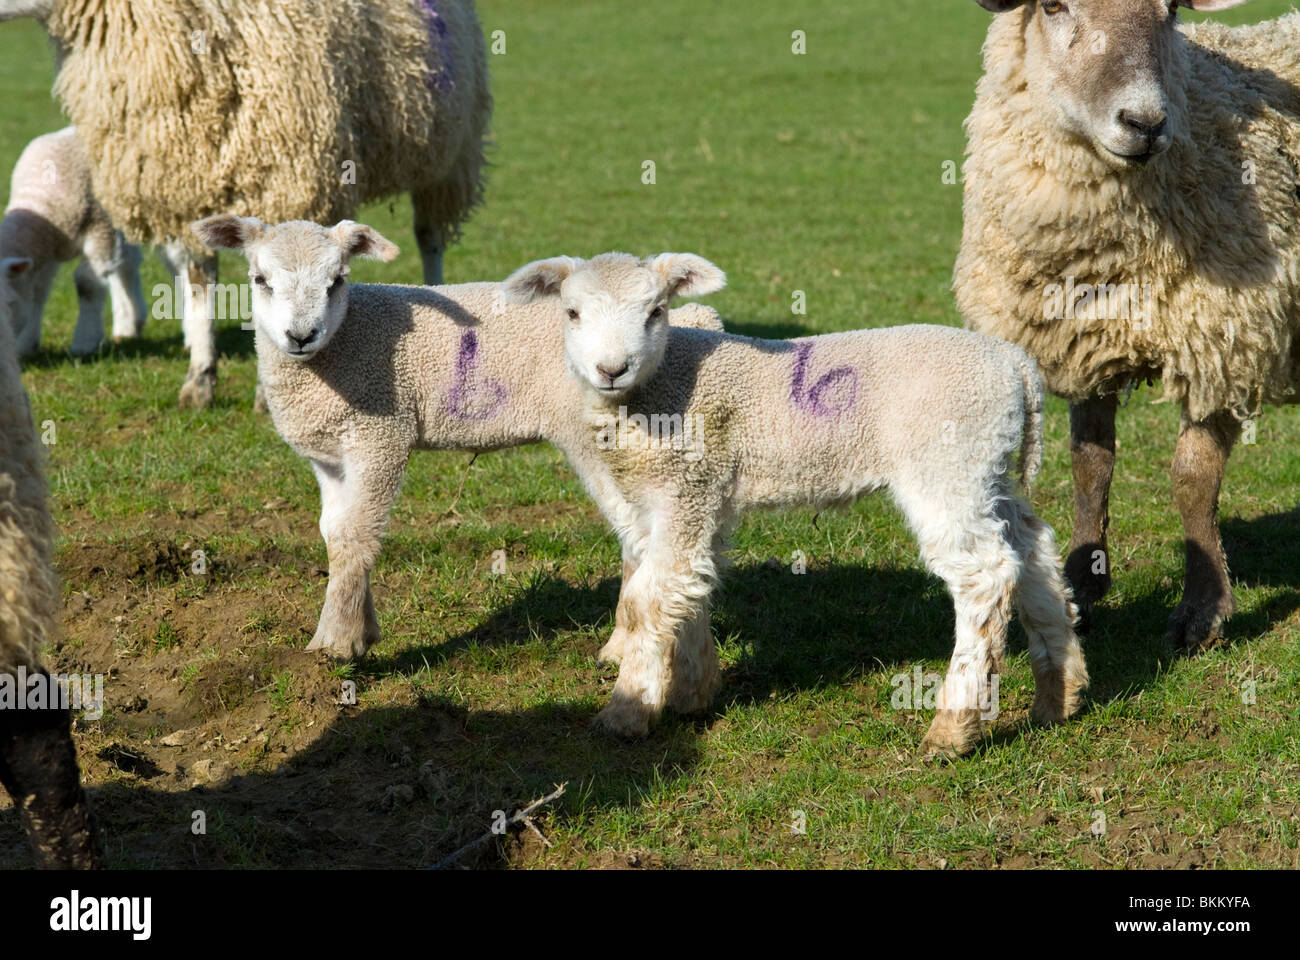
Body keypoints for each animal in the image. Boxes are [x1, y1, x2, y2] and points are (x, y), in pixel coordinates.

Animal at [1, 125, 146, 353]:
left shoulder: (100, 229)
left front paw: (84, 343)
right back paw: (130, 324)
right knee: (128, 261)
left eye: (8, 303)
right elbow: (38, 291)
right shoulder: (47, 253)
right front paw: (27, 344)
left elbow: (87, 284)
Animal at [501, 252, 1092, 754]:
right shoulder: (688, 497)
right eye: (572, 312)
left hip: (947, 464)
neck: (659, 390)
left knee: (985, 575)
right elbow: (685, 586)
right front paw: (694, 692)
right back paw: (1059, 694)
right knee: (1031, 549)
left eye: (656, 311)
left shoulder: (686, 488)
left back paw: (954, 728)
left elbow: (647, 601)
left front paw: (627, 714)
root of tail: (1017, 366)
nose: (611, 369)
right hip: (987, 467)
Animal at [956, 0, 1300, 650]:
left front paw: (1203, 610)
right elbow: (1090, 466)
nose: (1144, 122)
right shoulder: (1083, 339)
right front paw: (1081, 585)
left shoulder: (1222, 339)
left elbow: (1192, 479)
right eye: (1052, 6)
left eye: (1170, 10)